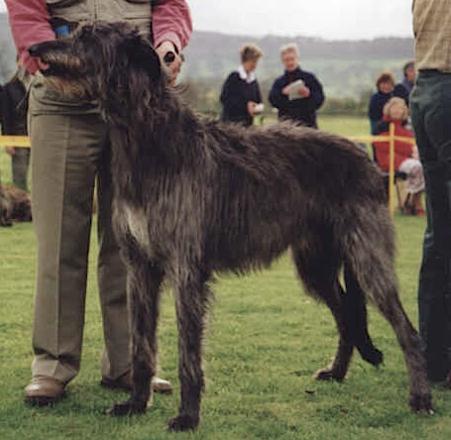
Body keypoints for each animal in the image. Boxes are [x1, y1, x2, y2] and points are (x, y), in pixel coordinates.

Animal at [29, 22, 434, 432]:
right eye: (76, 31)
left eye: (87, 37)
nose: (35, 48)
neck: (151, 137)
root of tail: (365, 159)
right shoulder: (140, 266)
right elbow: (141, 345)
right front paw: (136, 403)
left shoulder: (187, 268)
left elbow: (188, 351)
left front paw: (188, 416)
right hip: (315, 264)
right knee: (347, 315)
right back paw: (336, 372)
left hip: (367, 256)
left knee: (406, 329)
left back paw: (421, 397)